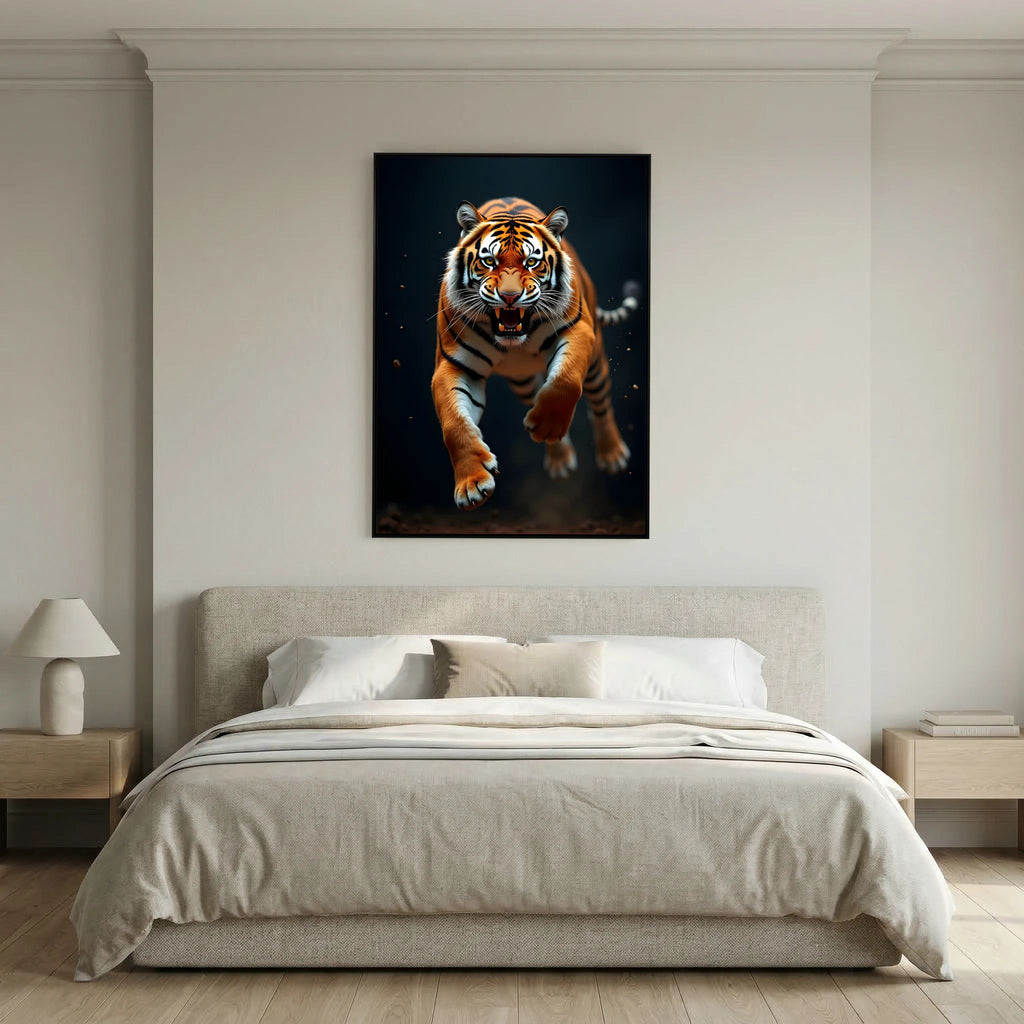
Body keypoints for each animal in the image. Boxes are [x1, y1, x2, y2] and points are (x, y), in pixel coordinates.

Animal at [432, 196, 639, 509]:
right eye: (489, 261)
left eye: (532, 262)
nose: (509, 297)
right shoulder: (452, 365)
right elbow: (454, 425)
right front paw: (472, 485)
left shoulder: (578, 332)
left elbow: (565, 381)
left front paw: (547, 425)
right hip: (521, 381)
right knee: (536, 394)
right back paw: (559, 459)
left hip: (596, 365)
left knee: (600, 405)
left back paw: (612, 454)